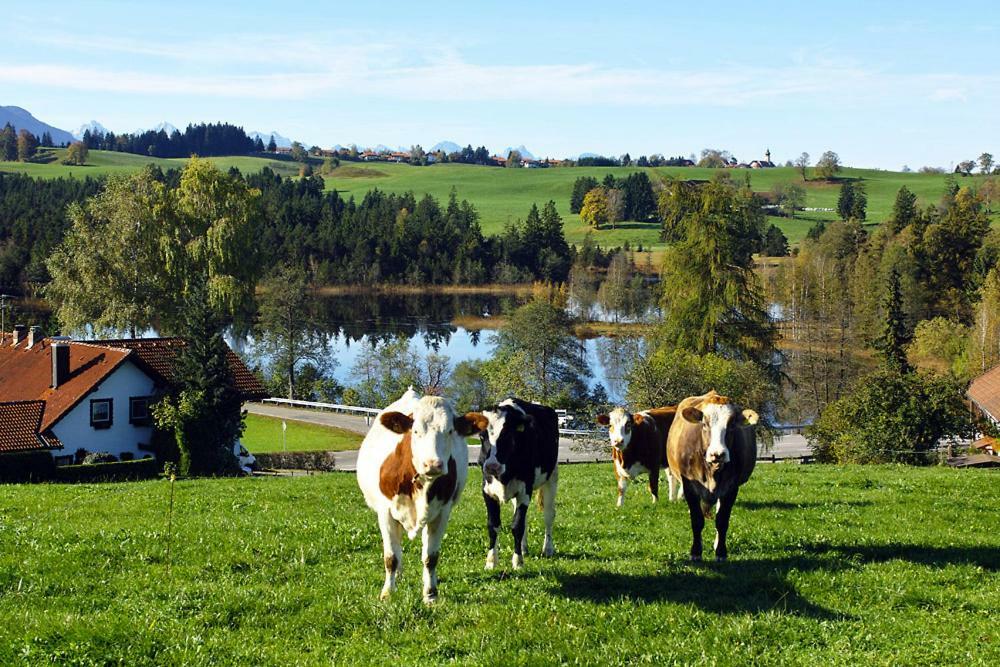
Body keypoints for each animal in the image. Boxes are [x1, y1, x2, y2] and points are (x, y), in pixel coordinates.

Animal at [356, 388, 488, 604]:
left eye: (450, 431)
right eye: (416, 431)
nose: (433, 464)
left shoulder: (442, 513)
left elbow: (430, 557)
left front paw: (430, 594)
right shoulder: (385, 512)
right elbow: (391, 557)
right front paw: (387, 592)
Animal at [478, 400, 560, 572]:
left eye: (507, 435)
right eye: (482, 436)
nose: (492, 466)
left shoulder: (524, 491)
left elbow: (517, 526)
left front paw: (518, 561)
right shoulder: (487, 491)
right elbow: (493, 525)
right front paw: (491, 561)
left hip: (552, 477)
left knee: (549, 515)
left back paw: (548, 548)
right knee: (524, 518)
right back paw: (523, 547)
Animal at [664, 392, 756, 564]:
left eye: (731, 424)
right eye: (705, 424)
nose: (717, 454)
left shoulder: (731, 488)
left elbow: (722, 521)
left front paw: (721, 552)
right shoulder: (689, 486)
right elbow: (696, 520)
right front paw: (695, 552)